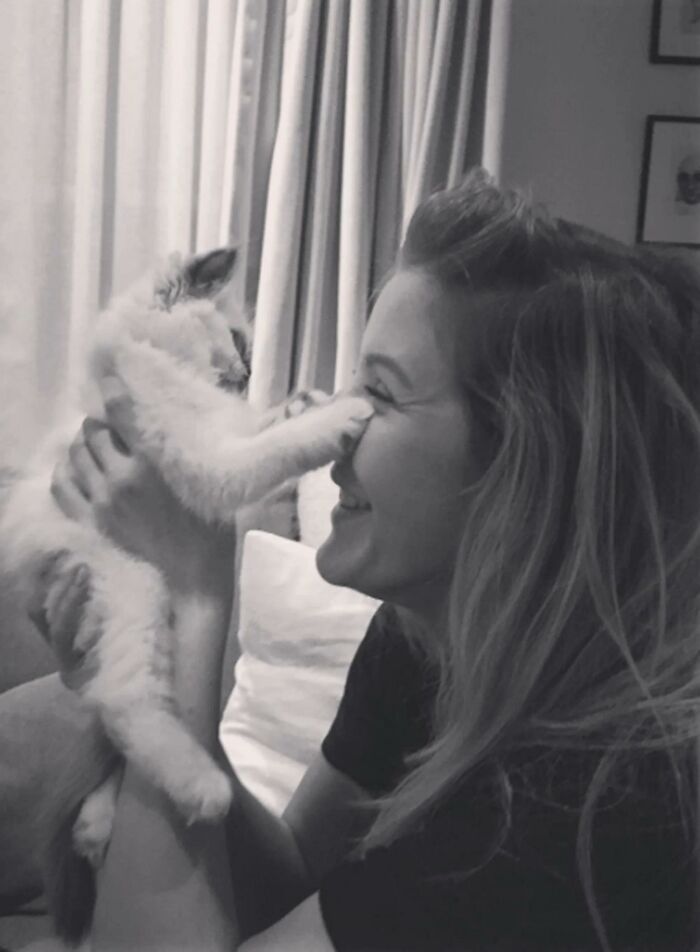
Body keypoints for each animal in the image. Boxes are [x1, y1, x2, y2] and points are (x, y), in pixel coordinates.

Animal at [0, 246, 372, 943]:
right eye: (237, 341)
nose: (248, 374)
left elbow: (267, 430)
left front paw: (305, 401)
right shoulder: (207, 460)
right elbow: (270, 449)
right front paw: (339, 414)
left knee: (115, 716)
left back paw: (97, 825)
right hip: (138, 586)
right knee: (124, 703)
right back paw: (203, 790)